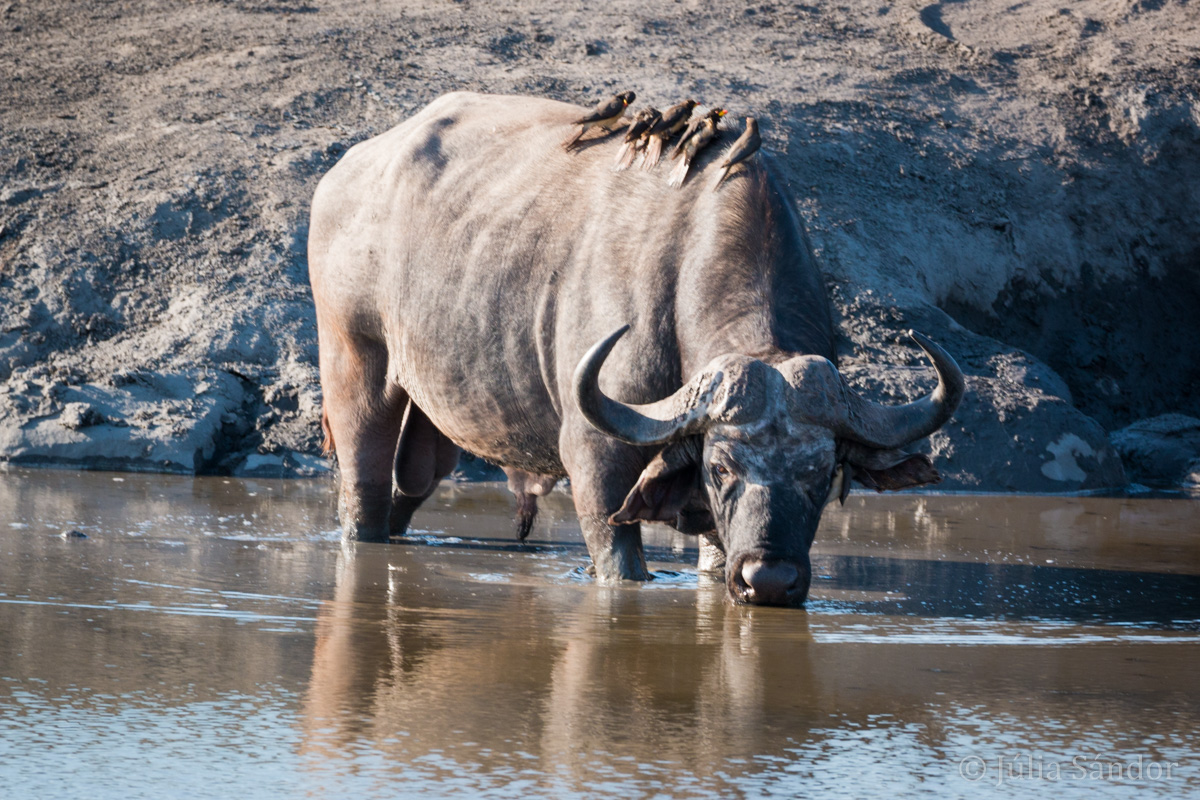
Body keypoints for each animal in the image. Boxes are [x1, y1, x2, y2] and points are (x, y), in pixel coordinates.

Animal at [309, 92, 964, 606]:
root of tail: (345, 173)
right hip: (355, 363)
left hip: (435, 414)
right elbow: (622, 567)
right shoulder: (596, 458)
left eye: (822, 473)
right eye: (720, 468)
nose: (770, 581)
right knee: (363, 493)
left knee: (412, 485)